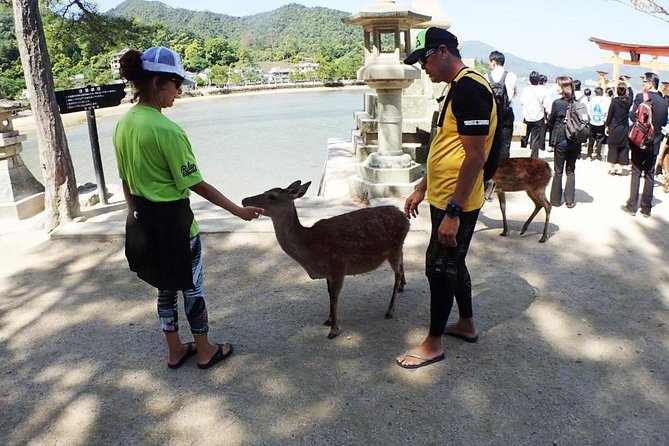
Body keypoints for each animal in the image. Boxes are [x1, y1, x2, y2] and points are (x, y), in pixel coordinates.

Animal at [240, 179, 408, 338]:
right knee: (401, 263)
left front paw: (333, 330)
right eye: (265, 191)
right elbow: (328, 294)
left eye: (272, 196)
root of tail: (405, 218)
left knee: (397, 273)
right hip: (398, 247)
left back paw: (390, 310)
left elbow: (334, 297)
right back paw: (401, 287)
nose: (244, 200)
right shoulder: (329, 273)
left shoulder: (338, 267)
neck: (311, 250)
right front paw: (328, 320)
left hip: (393, 248)